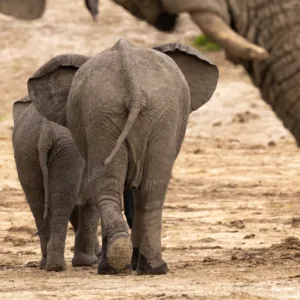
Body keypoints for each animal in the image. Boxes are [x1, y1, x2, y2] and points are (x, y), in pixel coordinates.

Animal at [12, 96, 101, 272]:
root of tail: (46, 130)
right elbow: (89, 202)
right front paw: (89, 262)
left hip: (25, 151)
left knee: (38, 203)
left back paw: (46, 264)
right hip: (67, 152)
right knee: (63, 202)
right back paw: (56, 266)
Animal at [27, 38, 219, 274]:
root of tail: (133, 84)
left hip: (115, 113)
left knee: (113, 186)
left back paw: (116, 264)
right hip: (138, 113)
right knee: (150, 189)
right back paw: (149, 267)